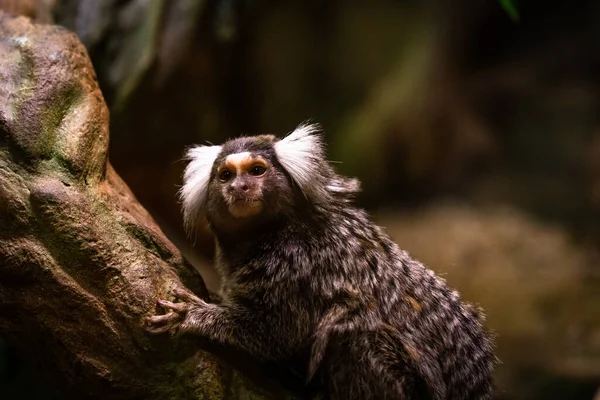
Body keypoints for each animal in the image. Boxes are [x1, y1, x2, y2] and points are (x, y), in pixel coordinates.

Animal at [148, 123, 494, 398]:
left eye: (257, 170)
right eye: (225, 175)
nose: (239, 187)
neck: (270, 232)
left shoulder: (294, 264)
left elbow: (276, 332)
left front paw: (194, 317)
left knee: (354, 330)